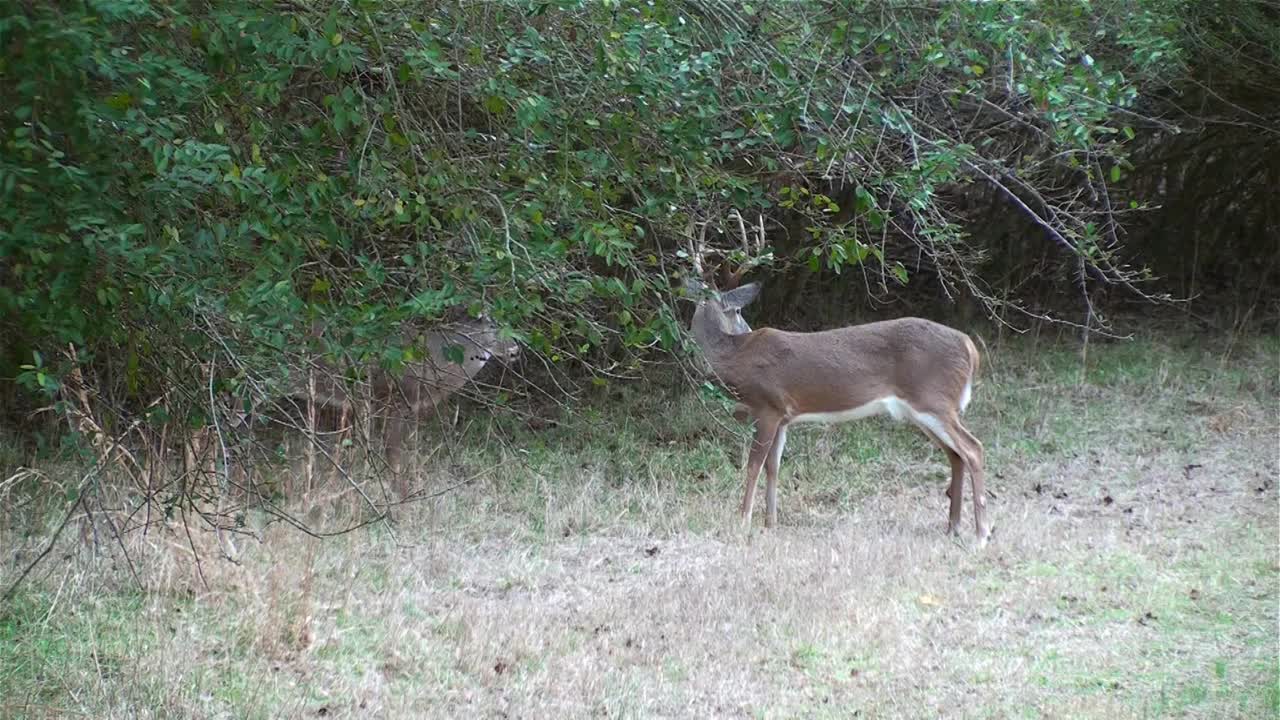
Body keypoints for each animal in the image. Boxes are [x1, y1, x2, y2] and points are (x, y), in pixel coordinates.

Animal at [691, 212, 988, 538]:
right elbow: (774, 467)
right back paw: (954, 528)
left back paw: (981, 533)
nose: (746, 327)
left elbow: (753, 465)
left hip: (934, 400)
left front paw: (742, 520)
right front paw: (770, 523)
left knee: (973, 449)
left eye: (737, 311)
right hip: (924, 409)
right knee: (956, 455)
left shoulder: (768, 406)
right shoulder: (783, 416)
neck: (736, 356)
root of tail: (970, 347)